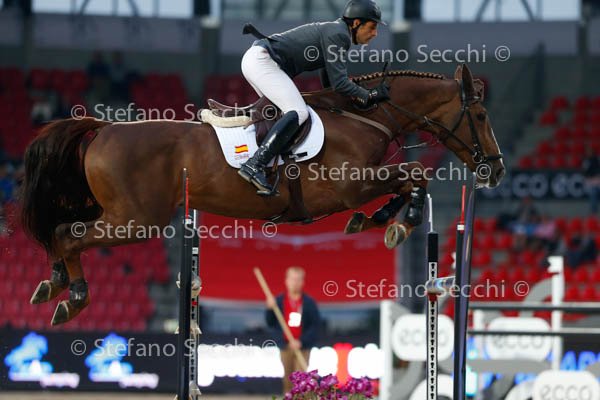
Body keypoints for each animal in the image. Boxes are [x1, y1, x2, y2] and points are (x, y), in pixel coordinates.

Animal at [20, 63, 504, 326]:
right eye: (480, 115)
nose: (495, 170)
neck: (366, 115)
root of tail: (104, 128)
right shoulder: (351, 184)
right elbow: (415, 176)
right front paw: (397, 223)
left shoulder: (362, 182)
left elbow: (408, 180)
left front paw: (378, 220)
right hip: (136, 221)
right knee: (66, 234)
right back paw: (72, 297)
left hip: (126, 218)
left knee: (63, 233)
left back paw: (54, 284)